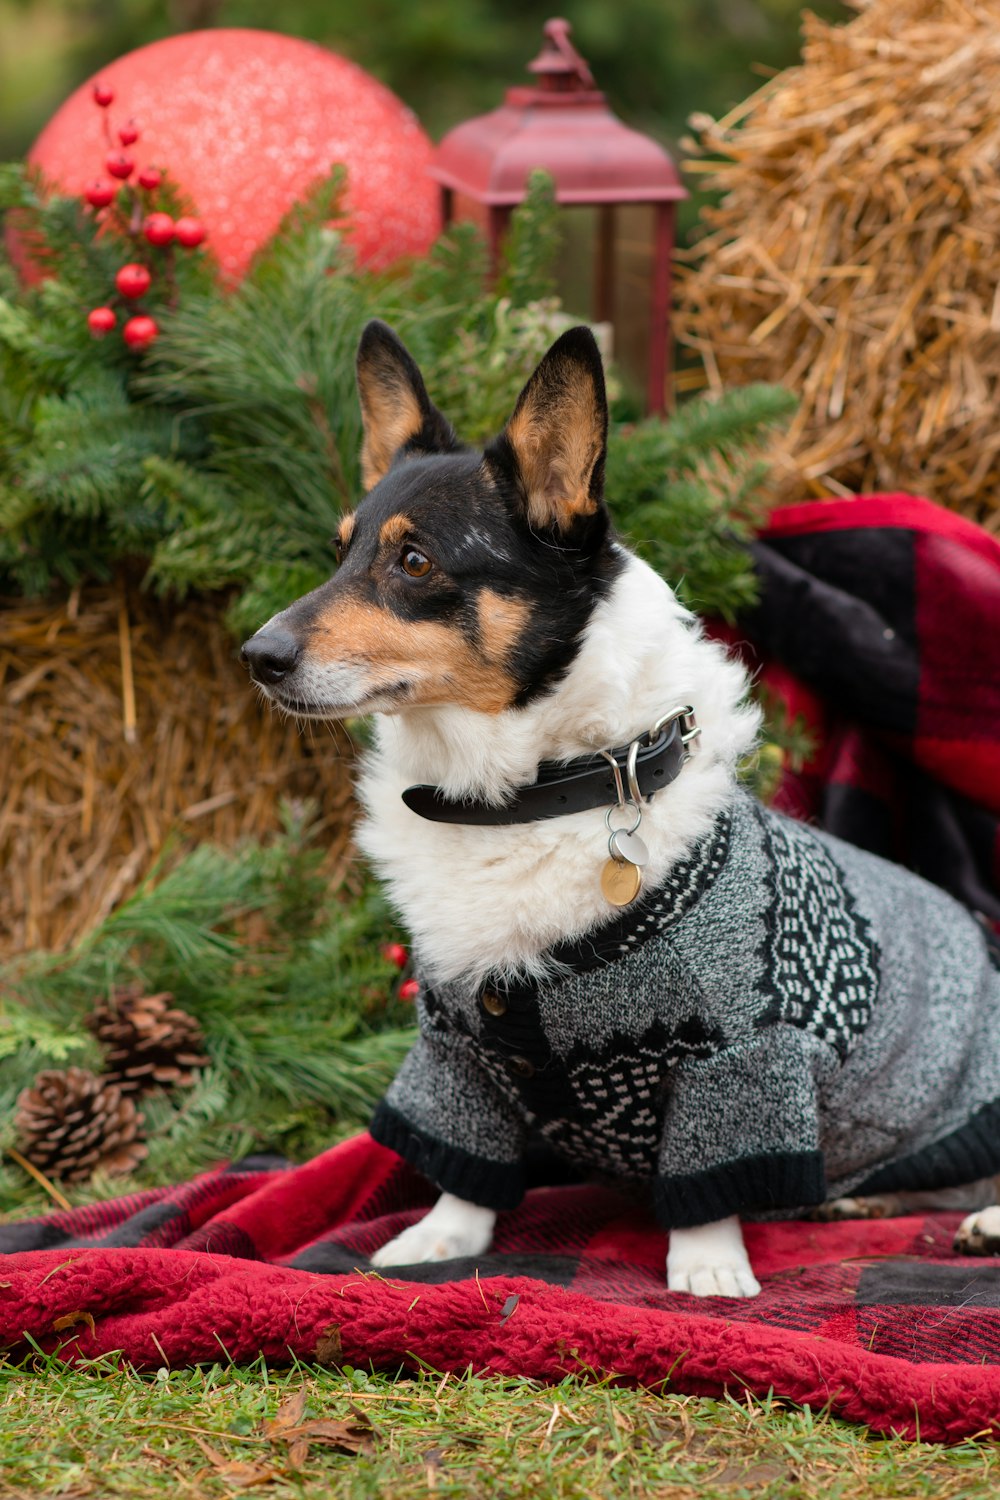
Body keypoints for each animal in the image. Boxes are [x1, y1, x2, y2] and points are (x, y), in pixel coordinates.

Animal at [239, 322, 1000, 1296]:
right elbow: (463, 1172)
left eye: (414, 561)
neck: (523, 799)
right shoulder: (456, 1057)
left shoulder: (737, 1058)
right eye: (339, 550)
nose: (259, 656)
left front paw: (708, 1270)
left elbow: (711, 1184)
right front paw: (439, 1239)